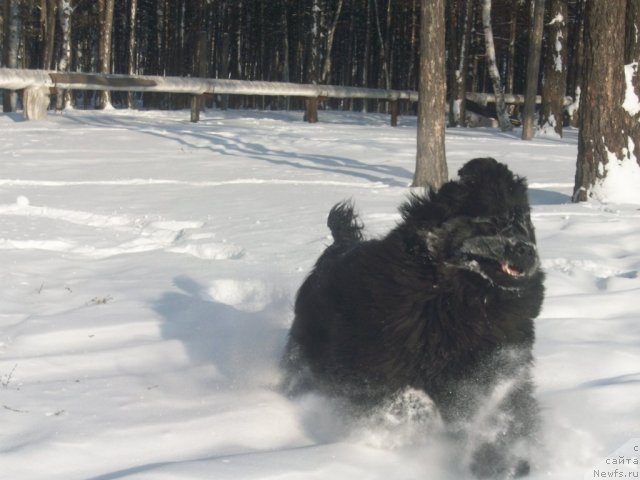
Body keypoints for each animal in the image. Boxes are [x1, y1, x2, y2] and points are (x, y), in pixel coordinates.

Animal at [284, 158, 544, 476]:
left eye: (524, 219)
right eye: (490, 220)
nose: (527, 251)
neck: (457, 297)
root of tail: (337, 247)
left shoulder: (498, 365)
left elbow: (506, 410)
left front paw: (505, 461)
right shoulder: (376, 370)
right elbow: (405, 402)